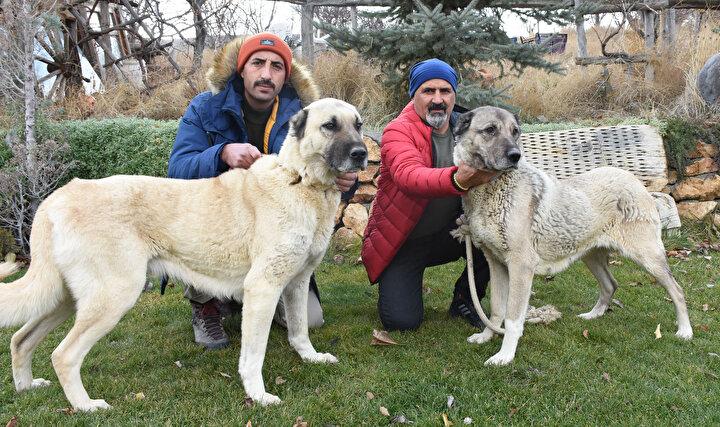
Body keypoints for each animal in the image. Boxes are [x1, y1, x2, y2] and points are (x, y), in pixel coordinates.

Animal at [0, 98, 368, 412]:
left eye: (358, 124)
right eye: (330, 125)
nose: (362, 154)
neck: (301, 181)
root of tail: (59, 195)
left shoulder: (295, 283)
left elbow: (299, 330)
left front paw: (310, 358)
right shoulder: (263, 289)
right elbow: (253, 356)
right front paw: (259, 395)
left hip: (66, 298)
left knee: (21, 339)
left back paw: (27, 387)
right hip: (112, 297)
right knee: (63, 355)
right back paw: (86, 406)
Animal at [452, 105, 696, 366]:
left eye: (515, 132)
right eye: (490, 130)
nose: (515, 155)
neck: (490, 188)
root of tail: (633, 179)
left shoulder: (521, 265)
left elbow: (513, 317)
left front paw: (505, 355)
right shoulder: (496, 264)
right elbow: (497, 310)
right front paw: (486, 337)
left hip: (648, 257)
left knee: (677, 291)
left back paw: (685, 331)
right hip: (591, 255)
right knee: (610, 284)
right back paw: (593, 316)